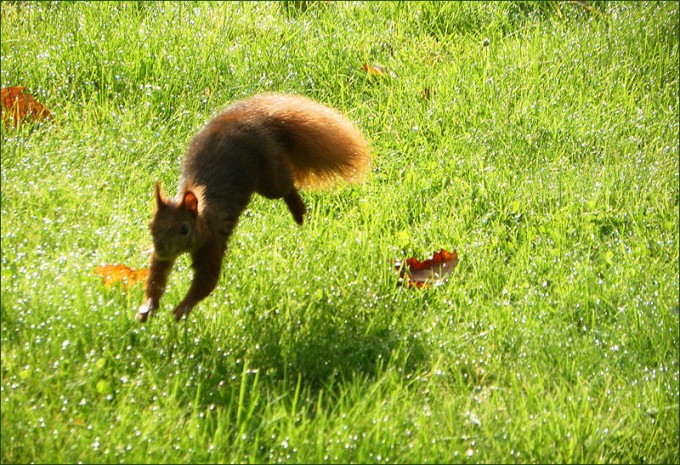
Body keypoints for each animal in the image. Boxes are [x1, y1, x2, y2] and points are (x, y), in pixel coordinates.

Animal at [136, 93, 371, 322]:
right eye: (151, 226)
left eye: (184, 229)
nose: (161, 249)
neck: (202, 219)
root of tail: (258, 120)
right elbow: (158, 274)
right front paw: (148, 307)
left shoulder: (212, 242)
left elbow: (207, 280)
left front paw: (181, 309)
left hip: (270, 178)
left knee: (287, 186)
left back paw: (298, 211)